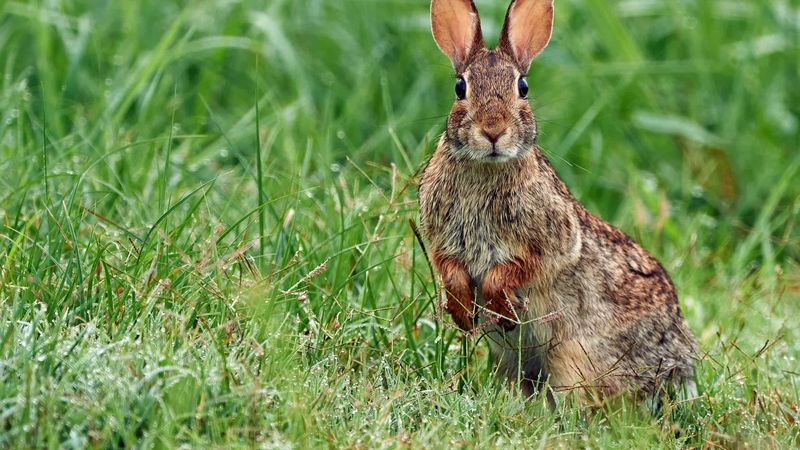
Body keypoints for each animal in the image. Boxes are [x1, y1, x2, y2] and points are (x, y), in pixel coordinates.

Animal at [419, 0, 697, 402]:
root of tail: (679, 370)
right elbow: (450, 270)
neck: (486, 168)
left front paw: (500, 307)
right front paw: (461, 311)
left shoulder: (553, 243)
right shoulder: (444, 242)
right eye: (460, 87)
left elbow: (518, 269)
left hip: (575, 359)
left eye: (523, 87)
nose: (493, 130)